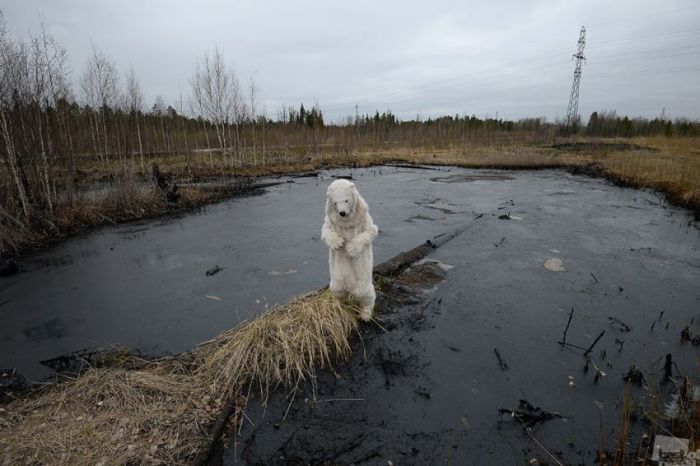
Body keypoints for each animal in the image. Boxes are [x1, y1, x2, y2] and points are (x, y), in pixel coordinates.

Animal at [322, 178, 378, 320]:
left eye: (346, 200)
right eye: (335, 203)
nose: (342, 212)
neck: (346, 221)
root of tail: (350, 289)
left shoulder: (363, 217)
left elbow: (371, 231)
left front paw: (350, 248)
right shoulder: (331, 220)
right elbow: (326, 231)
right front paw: (339, 243)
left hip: (363, 279)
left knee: (366, 295)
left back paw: (365, 314)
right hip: (336, 279)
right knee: (338, 291)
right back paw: (341, 305)